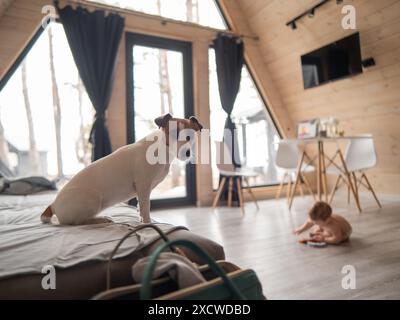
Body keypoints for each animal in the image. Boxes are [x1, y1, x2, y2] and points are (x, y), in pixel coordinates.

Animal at [41, 114, 203, 225]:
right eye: (174, 133)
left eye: (190, 136)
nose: (187, 153)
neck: (161, 149)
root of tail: (53, 205)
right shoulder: (143, 186)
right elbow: (146, 207)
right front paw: (148, 224)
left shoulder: (143, 190)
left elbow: (140, 207)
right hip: (93, 199)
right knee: (79, 222)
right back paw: (101, 219)